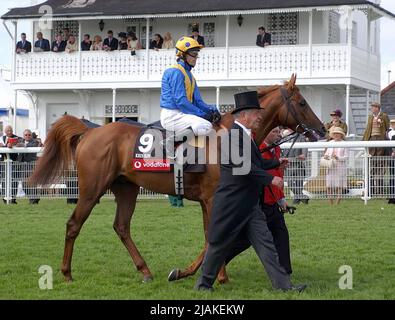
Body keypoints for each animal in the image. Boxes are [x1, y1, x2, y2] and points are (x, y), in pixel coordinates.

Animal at [30, 74, 328, 282]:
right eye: (302, 102)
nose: (323, 129)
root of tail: (91, 130)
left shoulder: (212, 200)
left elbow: (213, 237)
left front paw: (208, 274)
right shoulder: (212, 198)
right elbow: (214, 236)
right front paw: (216, 276)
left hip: (127, 188)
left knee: (121, 227)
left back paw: (145, 270)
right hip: (92, 188)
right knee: (73, 224)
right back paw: (67, 272)